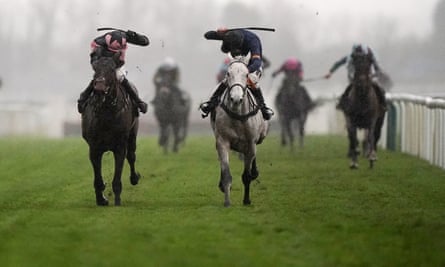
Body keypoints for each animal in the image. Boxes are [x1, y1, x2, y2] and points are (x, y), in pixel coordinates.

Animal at [81, 53, 140, 206]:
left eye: (112, 70)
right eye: (95, 69)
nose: (100, 87)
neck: (107, 114)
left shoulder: (120, 146)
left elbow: (117, 176)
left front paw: (117, 201)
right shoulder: (94, 148)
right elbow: (97, 177)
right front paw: (101, 198)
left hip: (133, 134)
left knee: (131, 155)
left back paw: (134, 178)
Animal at [209, 56, 268, 207]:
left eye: (246, 75)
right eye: (228, 73)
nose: (236, 99)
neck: (237, 115)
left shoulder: (251, 143)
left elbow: (246, 175)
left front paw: (246, 200)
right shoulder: (222, 141)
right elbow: (226, 173)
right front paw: (227, 201)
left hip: (260, 137)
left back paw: (254, 172)